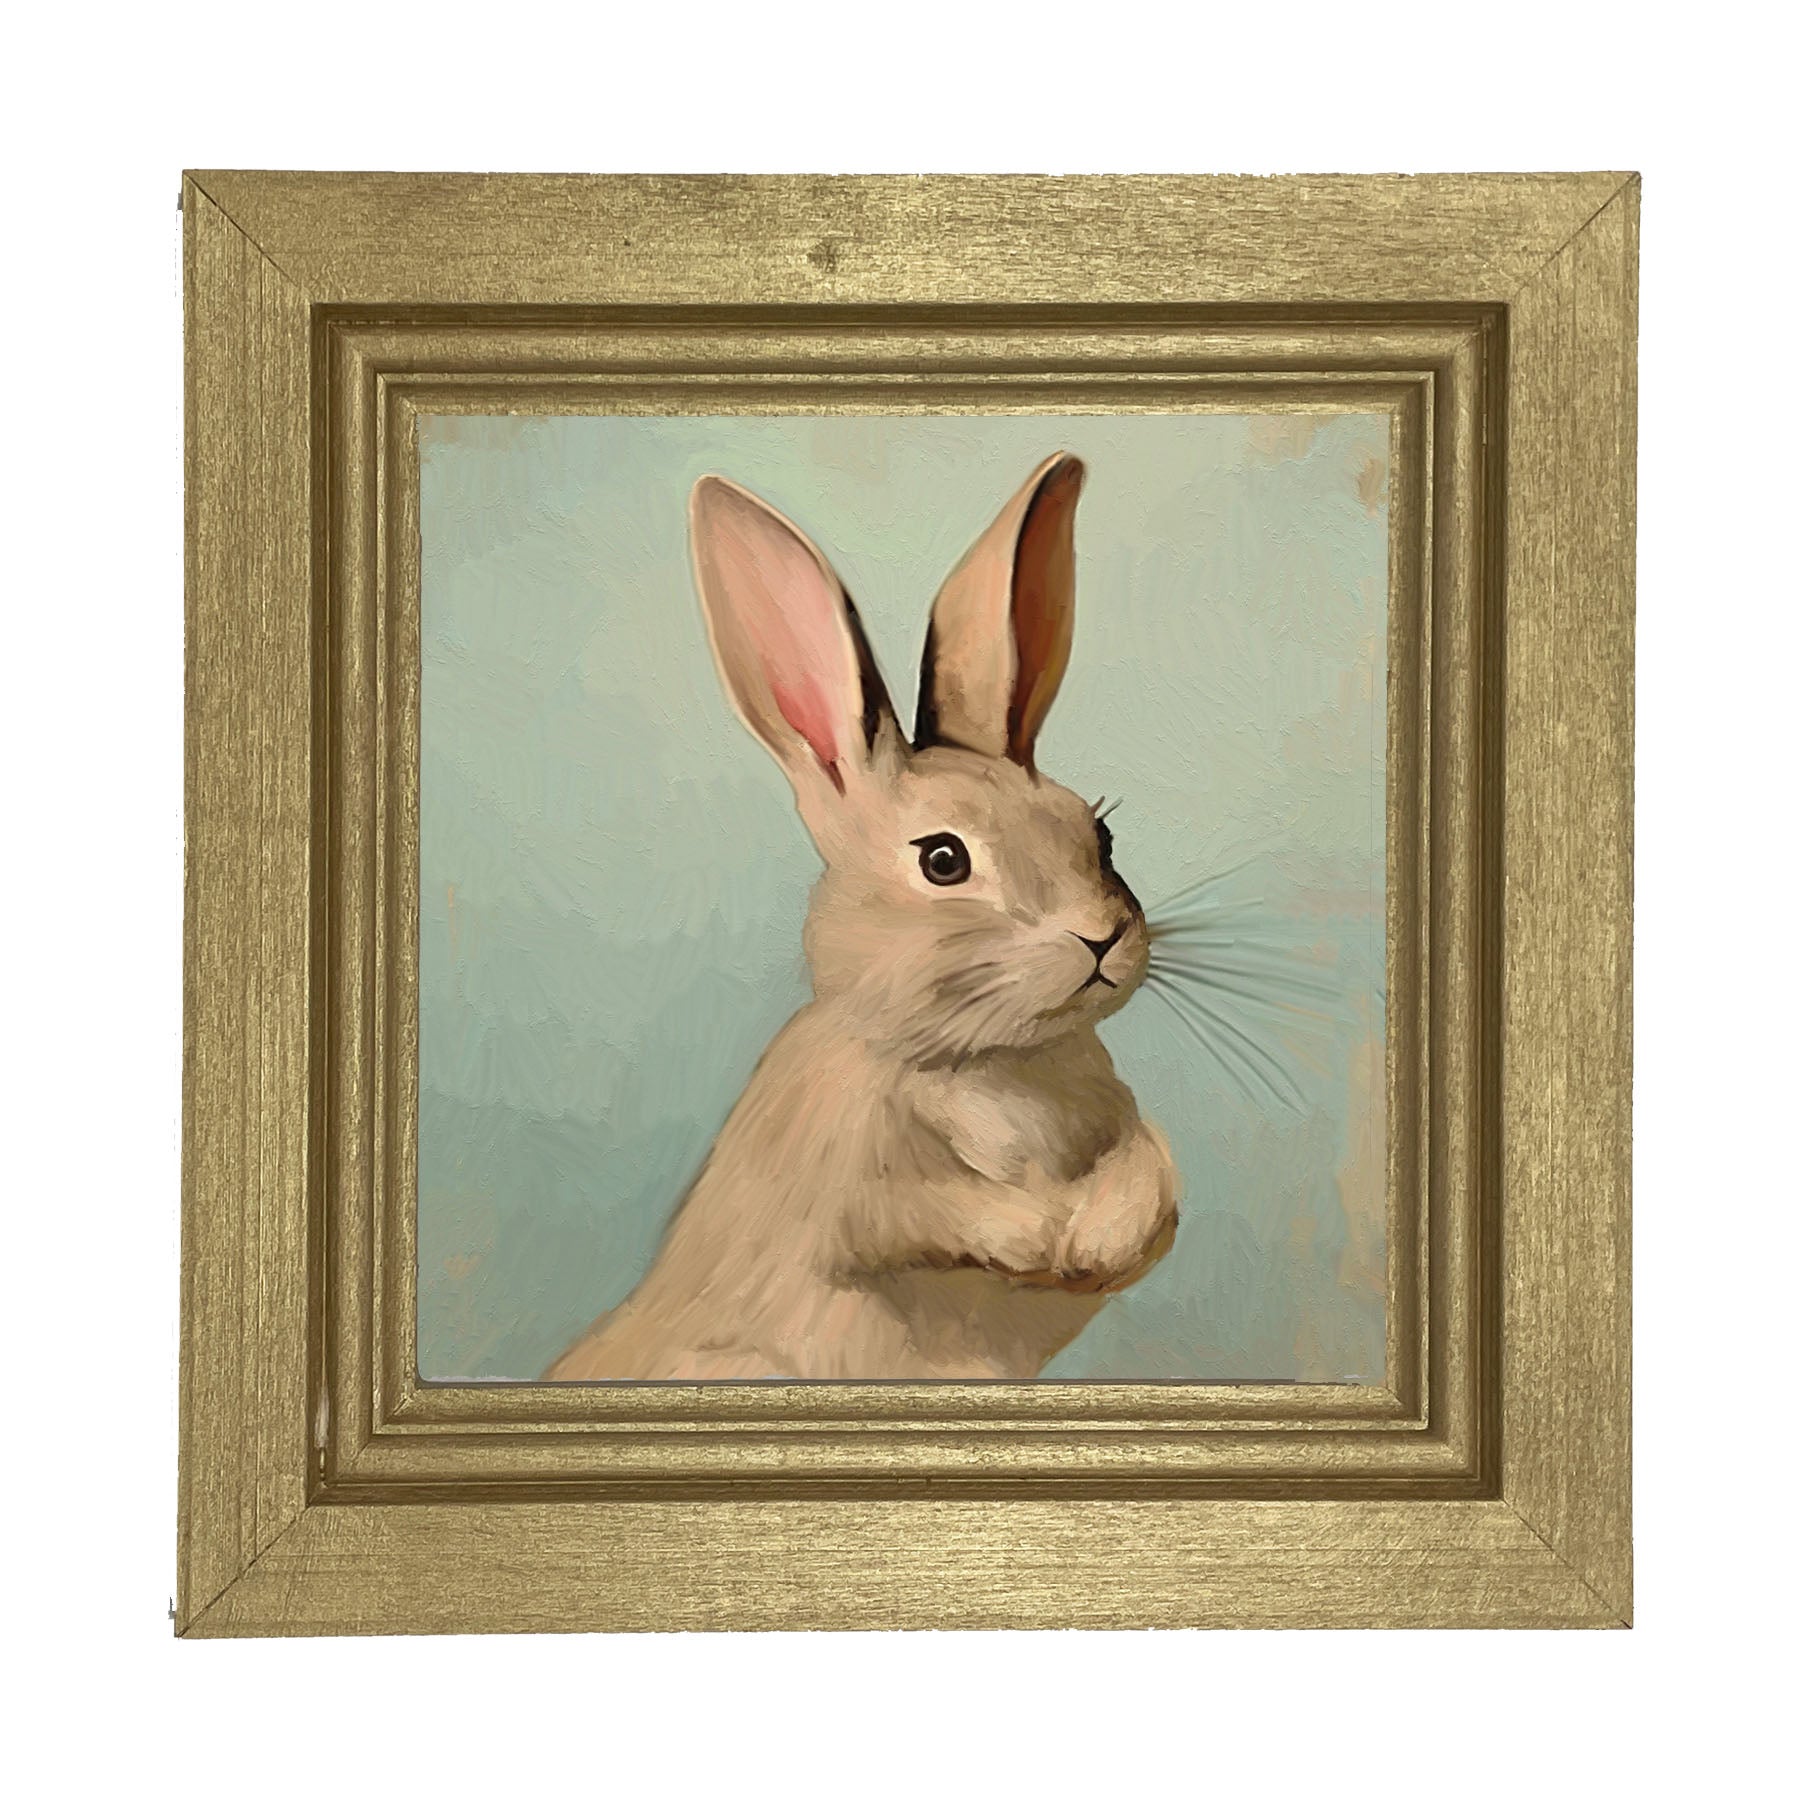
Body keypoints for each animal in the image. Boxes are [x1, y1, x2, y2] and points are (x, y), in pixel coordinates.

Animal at [545, 452, 1177, 1380]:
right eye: (943, 860)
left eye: (1098, 833)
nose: (1101, 937)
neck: (987, 1063)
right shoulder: (844, 1175)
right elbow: (920, 1208)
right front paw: (1042, 1238)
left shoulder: (1124, 1127)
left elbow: (1151, 1170)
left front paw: (1097, 1240)